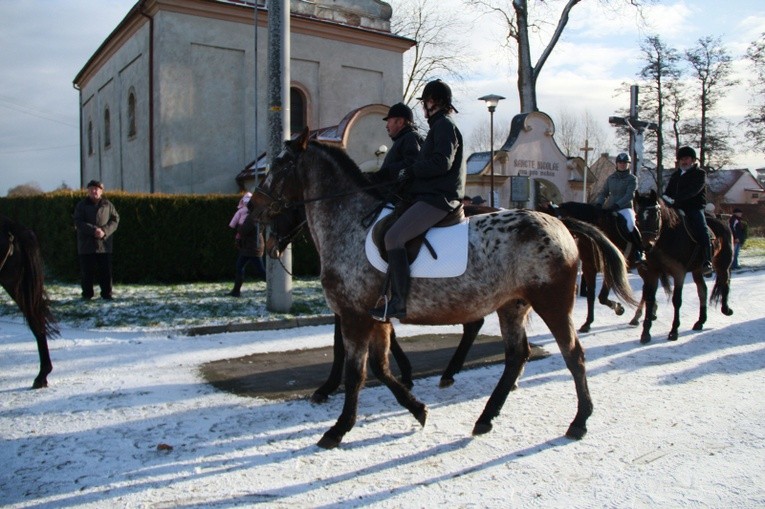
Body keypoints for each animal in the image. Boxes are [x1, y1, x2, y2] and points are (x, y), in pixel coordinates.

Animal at [254, 128, 636, 448]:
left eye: (280, 165)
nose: (256, 210)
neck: (350, 224)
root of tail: (559, 223)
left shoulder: (355, 315)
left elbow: (356, 373)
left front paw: (338, 429)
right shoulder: (377, 317)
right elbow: (381, 368)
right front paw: (418, 409)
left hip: (553, 304)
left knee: (573, 356)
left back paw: (579, 421)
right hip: (512, 305)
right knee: (517, 357)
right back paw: (485, 418)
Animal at [628, 192, 732, 344]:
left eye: (655, 215)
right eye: (637, 217)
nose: (645, 246)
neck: (668, 237)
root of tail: (722, 222)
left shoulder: (679, 273)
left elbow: (676, 301)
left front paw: (673, 331)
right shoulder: (652, 273)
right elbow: (649, 298)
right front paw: (646, 333)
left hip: (723, 264)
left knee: (725, 281)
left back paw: (726, 309)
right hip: (697, 270)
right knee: (703, 290)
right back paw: (700, 321)